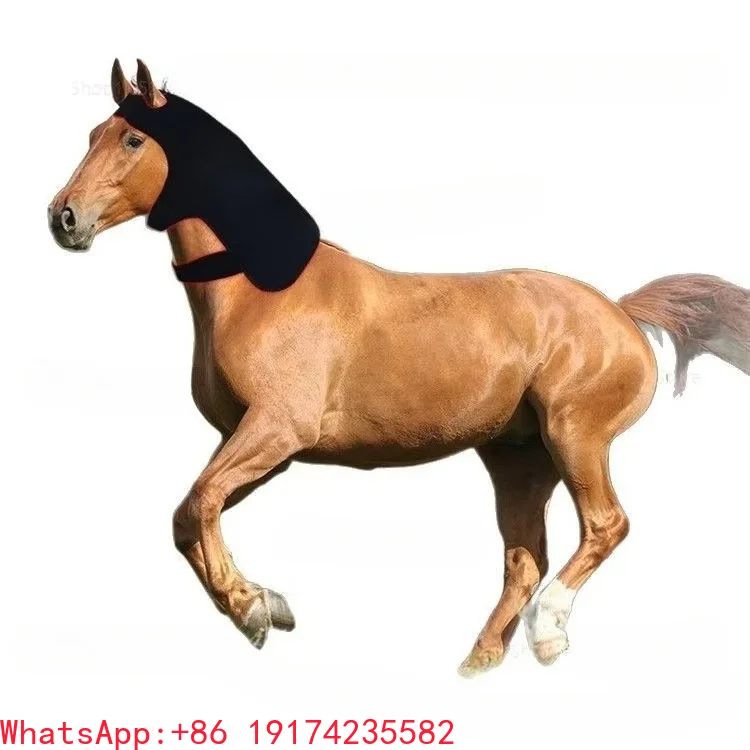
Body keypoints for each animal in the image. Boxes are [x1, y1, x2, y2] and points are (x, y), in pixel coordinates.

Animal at [48, 59, 750, 677]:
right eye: (92, 134)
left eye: (132, 138)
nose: (64, 217)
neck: (260, 292)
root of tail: (622, 314)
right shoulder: (257, 445)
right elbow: (190, 516)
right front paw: (266, 605)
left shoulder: (277, 431)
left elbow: (198, 506)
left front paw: (253, 612)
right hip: (518, 460)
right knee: (525, 558)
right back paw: (479, 662)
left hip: (575, 437)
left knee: (605, 526)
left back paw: (548, 632)